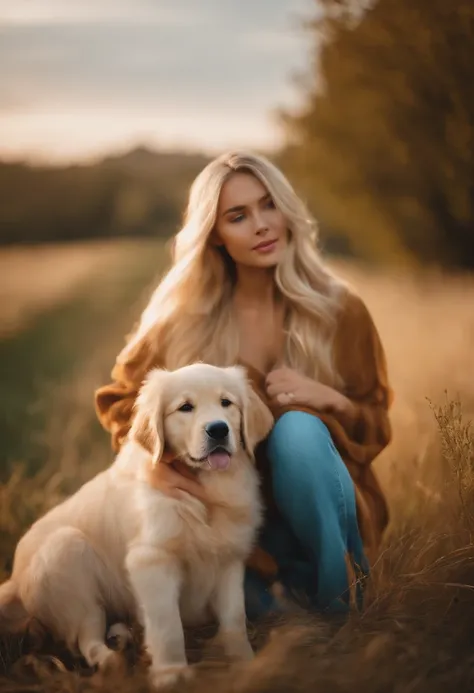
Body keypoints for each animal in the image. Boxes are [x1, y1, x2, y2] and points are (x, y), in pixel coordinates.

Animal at [0, 362, 274, 688]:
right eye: (185, 407)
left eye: (226, 403)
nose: (219, 429)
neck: (202, 495)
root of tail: (15, 580)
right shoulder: (151, 561)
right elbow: (168, 625)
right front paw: (172, 674)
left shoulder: (228, 560)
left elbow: (234, 619)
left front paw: (246, 664)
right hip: (67, 554)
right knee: (85, 638)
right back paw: (112, 660)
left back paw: (122, 636)